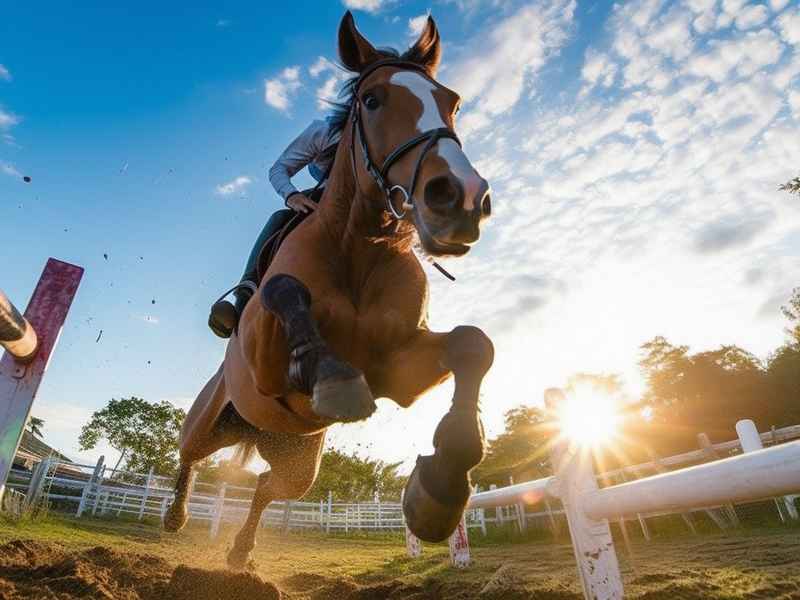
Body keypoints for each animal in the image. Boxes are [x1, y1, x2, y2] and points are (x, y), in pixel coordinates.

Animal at [164, 11, 494, 569]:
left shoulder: (398, 370)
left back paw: (240, 553)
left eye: (452, 102)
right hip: (210, 419)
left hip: (299, 458)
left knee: (268, 489)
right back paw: (176, 516)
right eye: (372, 100)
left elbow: (473, 344)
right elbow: (284, 289)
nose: (461, 198)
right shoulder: (266, 364)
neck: (359, 246)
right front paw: (331, 373)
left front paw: (438, 492)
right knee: (189, 454)